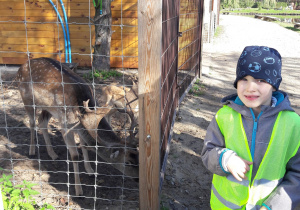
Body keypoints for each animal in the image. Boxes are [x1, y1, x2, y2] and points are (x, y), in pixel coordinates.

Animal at [16, 57, 138, 195]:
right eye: (127, 162)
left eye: (138, 156)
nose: (138, 179)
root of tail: (20, 68)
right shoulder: (66, 126)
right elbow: (74, 155)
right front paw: (78, 189)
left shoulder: (79, 124)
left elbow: (84, 145)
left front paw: (90, 171)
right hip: (26, 98)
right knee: (32, 122)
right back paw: (32, 151)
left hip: (50, 108)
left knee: (42, 121)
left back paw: (52, 154)